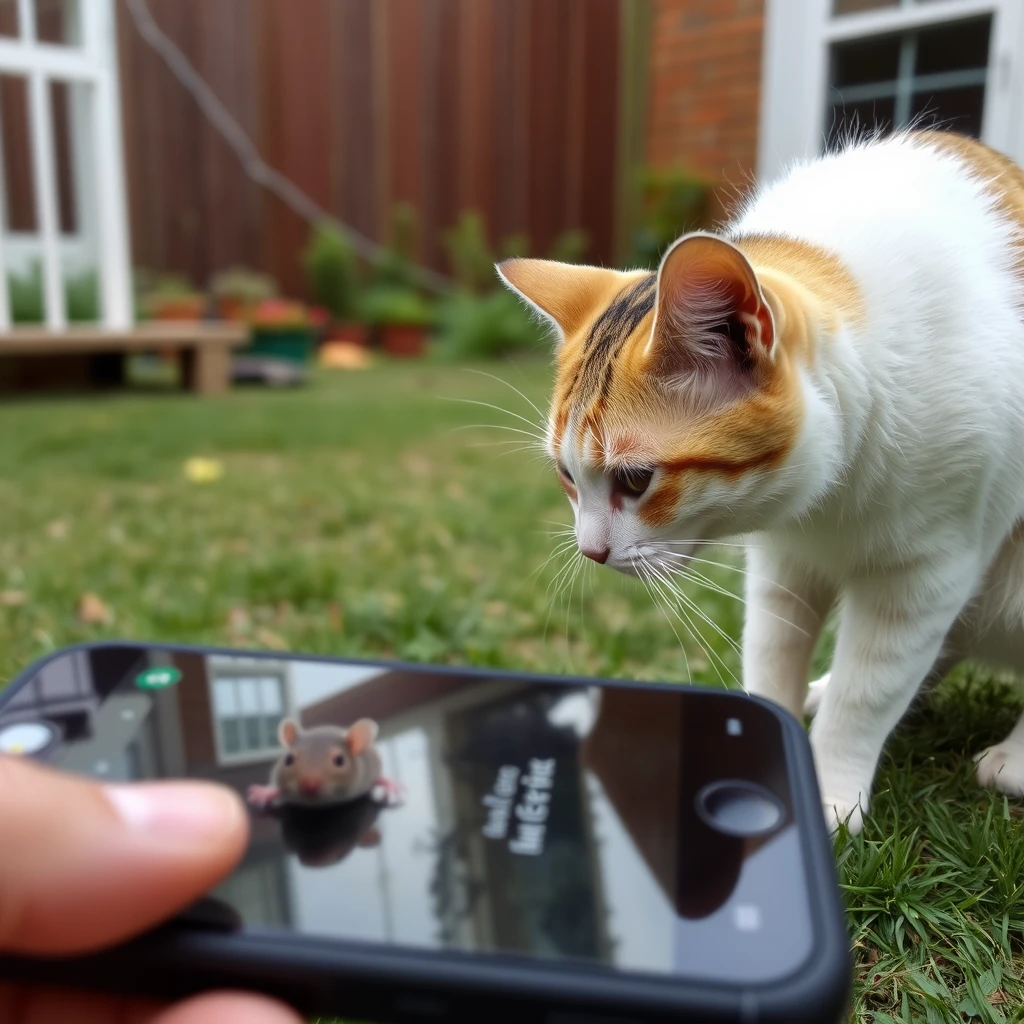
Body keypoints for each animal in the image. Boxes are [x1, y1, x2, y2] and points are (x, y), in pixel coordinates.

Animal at [499, 128, 1024, 835]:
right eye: (566, 474)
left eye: (635, 479)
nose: (591, 551)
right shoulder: (785, 564)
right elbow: (773, 653)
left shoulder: (924, 575)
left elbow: (868, 692)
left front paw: (831, 795)